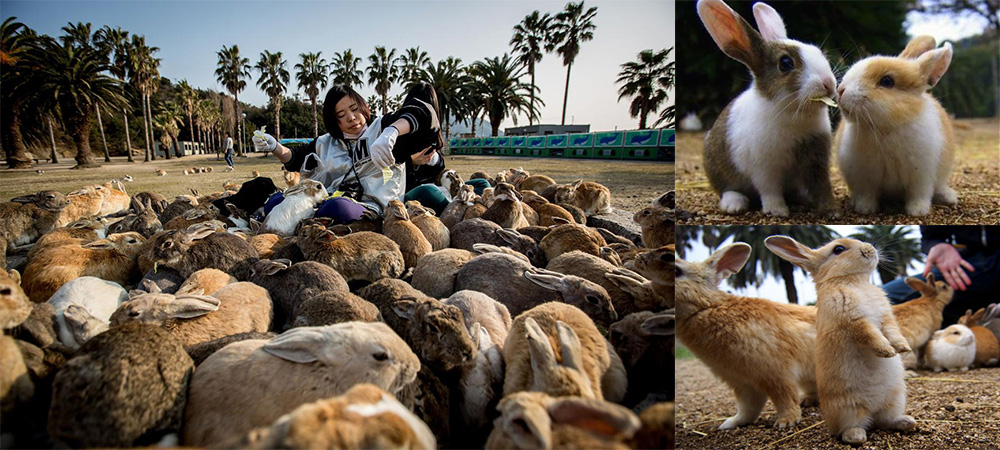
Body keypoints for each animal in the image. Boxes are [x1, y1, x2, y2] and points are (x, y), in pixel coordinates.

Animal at [672, 243, 820, 428]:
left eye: (676, 271)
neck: (706, 307)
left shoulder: (774, 373)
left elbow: (784, 397)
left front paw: (786, 422)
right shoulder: (742, 383)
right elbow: (748, 408)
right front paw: (729, 424)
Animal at [700, 0, 840, 218]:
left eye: (818, 52)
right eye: (785, 63)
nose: (829, 83)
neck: (794, 114)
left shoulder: (816, 160)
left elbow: (822, 187)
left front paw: (832, 211)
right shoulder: (764, 168)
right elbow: (770, 190)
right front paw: (778, 211)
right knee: (727, 189)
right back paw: (735, 204)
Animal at [764, 234, 916, 444]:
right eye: (838, 249)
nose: (871, 249)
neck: (853, 281)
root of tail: (872, 411)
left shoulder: (886, 317)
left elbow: (892, 331)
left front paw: (902, 348)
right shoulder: (854, 320)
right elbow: (870, 335)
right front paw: (886, 351)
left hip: (895, 399)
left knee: (885, 421)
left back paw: (908, 422)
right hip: (848, 410)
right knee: (850, 428)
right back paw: (857, 436)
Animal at [832, 37, 956, 216]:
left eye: (887, 81)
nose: (841, 90)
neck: (884, 129)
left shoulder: (922, 175)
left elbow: (919, 194)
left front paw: (917, 211)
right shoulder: (864, 176)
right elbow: (867, 194)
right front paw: (865, 209)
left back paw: (950, 197)